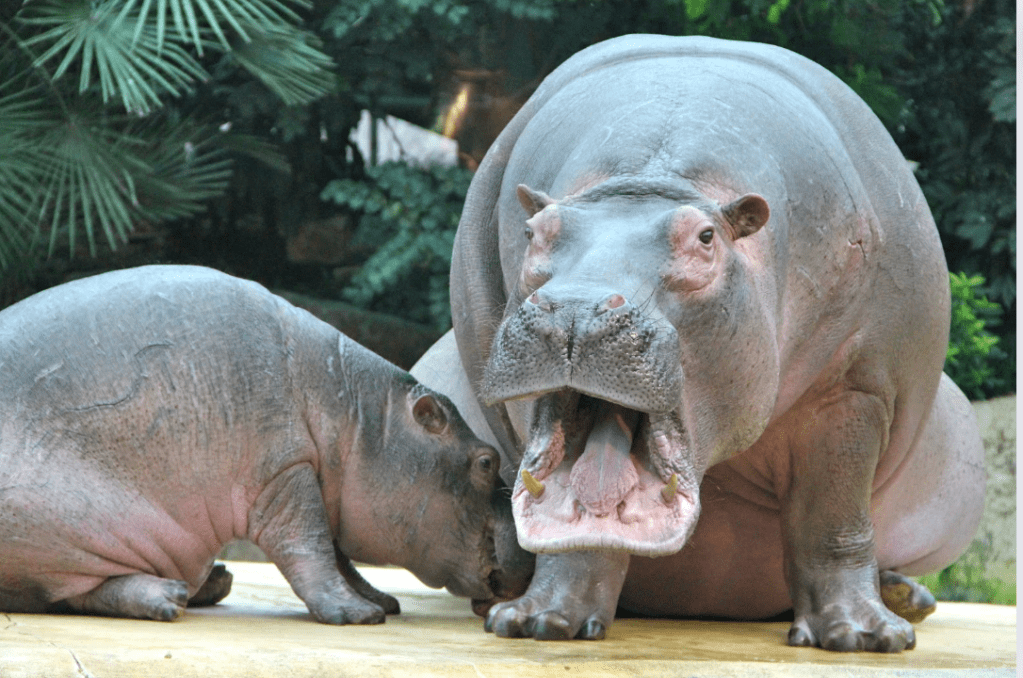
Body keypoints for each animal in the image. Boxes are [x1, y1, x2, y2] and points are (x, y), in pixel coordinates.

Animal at [0, 265, 528, 623]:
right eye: (486, 461)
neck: (362, 417)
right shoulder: (284, 473)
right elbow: (310, 546)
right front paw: (358, 615)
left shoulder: (319, 480)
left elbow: (339, 555)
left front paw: (378, 600)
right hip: (66, 517)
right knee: (70, 592)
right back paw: (170, 598)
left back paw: (208, 583)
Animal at [411, 34, 986, 651]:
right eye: (534, 232)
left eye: (706, 238)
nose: (576, 309)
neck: (652, 178)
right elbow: (574, 534)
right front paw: (537, 622)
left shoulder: (857, 388)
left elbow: (831, 516)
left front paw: (861, 636)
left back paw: (906, 600)